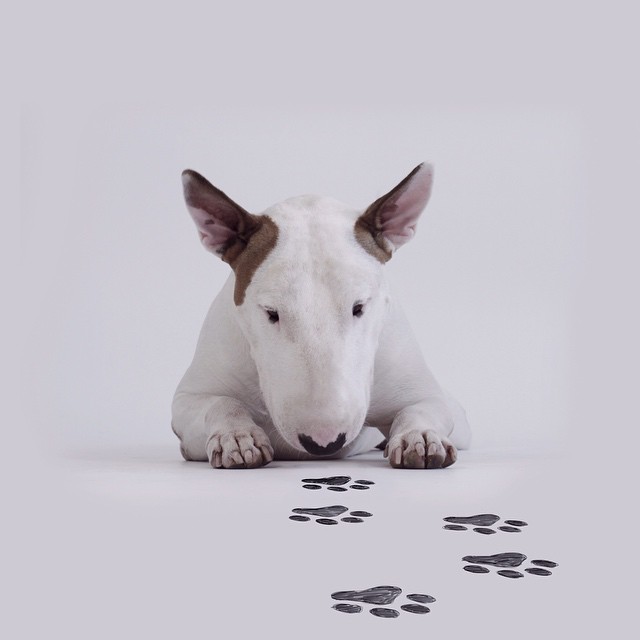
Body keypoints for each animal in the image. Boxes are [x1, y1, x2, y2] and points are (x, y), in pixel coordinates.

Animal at [170, 162, 470, 468]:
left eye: (359, 307)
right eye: (271, 313)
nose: (324, 441)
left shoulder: (424, 393)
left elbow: (419, 408)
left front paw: (419, 437)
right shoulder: (188, 399)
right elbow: (221, 402)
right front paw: (237, 437)